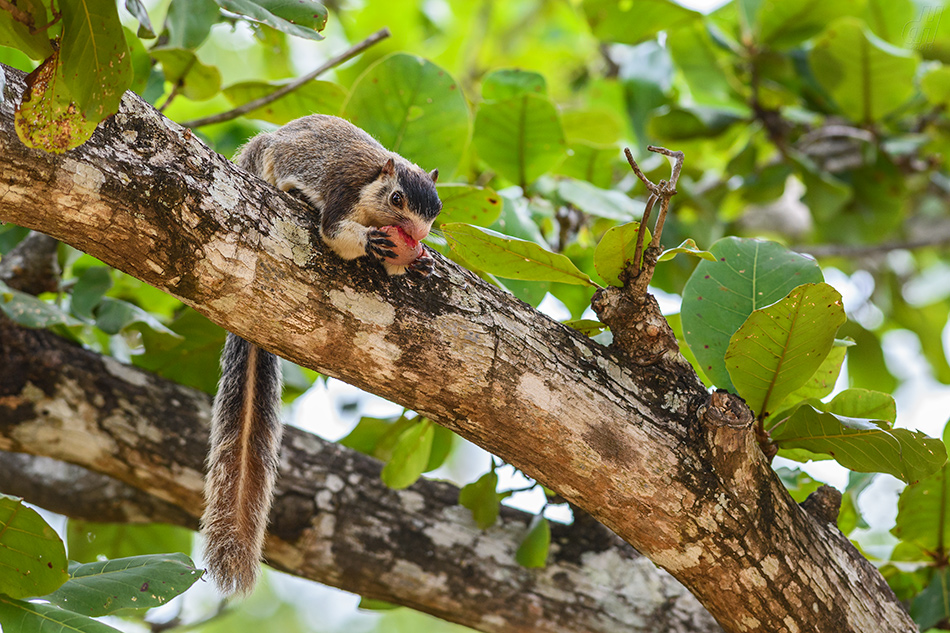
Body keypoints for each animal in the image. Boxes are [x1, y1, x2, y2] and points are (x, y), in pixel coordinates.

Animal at [202, 113, 446, 592]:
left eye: (437, 210)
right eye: (397, 198)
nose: (416, 235)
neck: (372, 189)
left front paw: (421, 261)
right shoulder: (341, 193)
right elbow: (335, 234)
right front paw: (370, 242)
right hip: (270, 158)